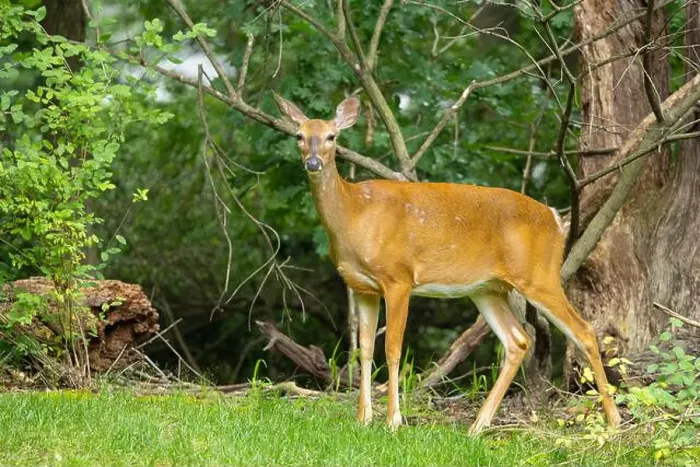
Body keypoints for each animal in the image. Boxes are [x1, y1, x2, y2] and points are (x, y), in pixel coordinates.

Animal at [273, 93, 621, 434]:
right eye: (299, 136)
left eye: (332, 136)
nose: (313, 162)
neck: (354, 214)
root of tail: (554, 218)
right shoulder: (362, 287)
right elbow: (365, 350)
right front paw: (363, 419)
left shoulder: (399, 277)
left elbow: (393, 348)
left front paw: (393, 421)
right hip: (488, 289)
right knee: (518, 341)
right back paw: (477, 426)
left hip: (539, 275)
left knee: (584, 330)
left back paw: (614, 421)